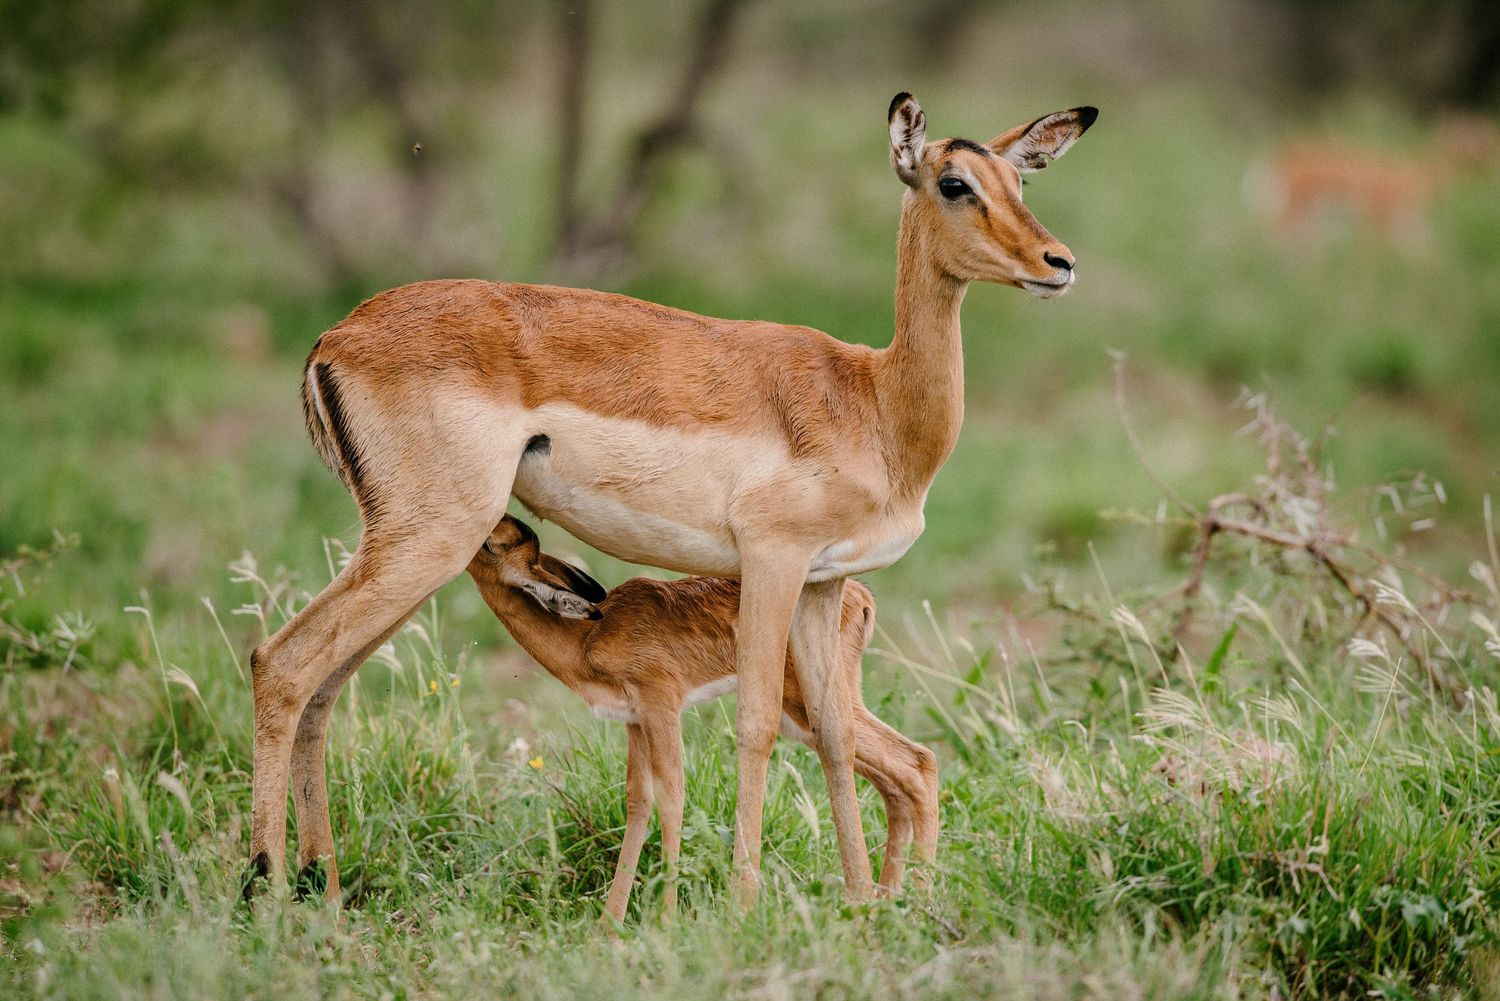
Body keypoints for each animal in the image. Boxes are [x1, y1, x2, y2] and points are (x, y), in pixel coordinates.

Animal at [465, 515, 938, 923]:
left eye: (492, 541)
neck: (589, 639)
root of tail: (861, 598)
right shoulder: (633, 721)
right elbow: (638, 801)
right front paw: (609, 925)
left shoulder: (661, 706)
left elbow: (672, 796)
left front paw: (667, 919)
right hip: (805, 715)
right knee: (898, 776)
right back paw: (891, 900)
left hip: (807, 708)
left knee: (917, 762)